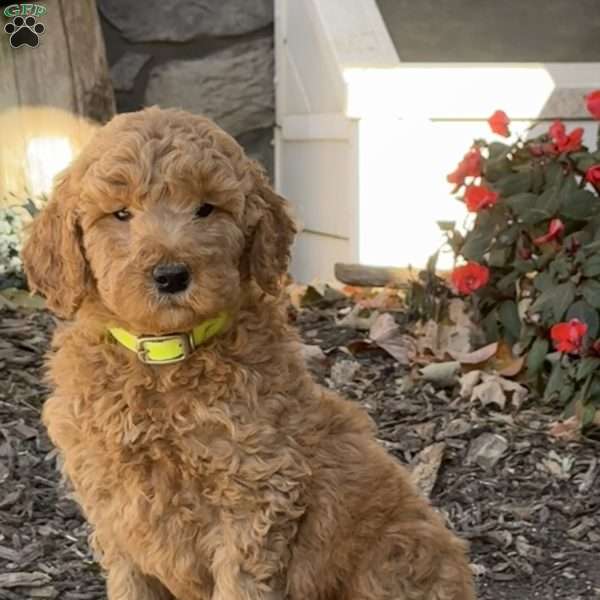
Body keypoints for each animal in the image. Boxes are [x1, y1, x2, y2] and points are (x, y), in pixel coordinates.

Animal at [21, 108, 476, 600]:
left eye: (206, 209)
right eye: (120, 214)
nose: (171, 275)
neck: (163, 356)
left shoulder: (256, 490)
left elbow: (238, 582)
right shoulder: (113, 506)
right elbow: (130, 583)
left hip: (395, 556)